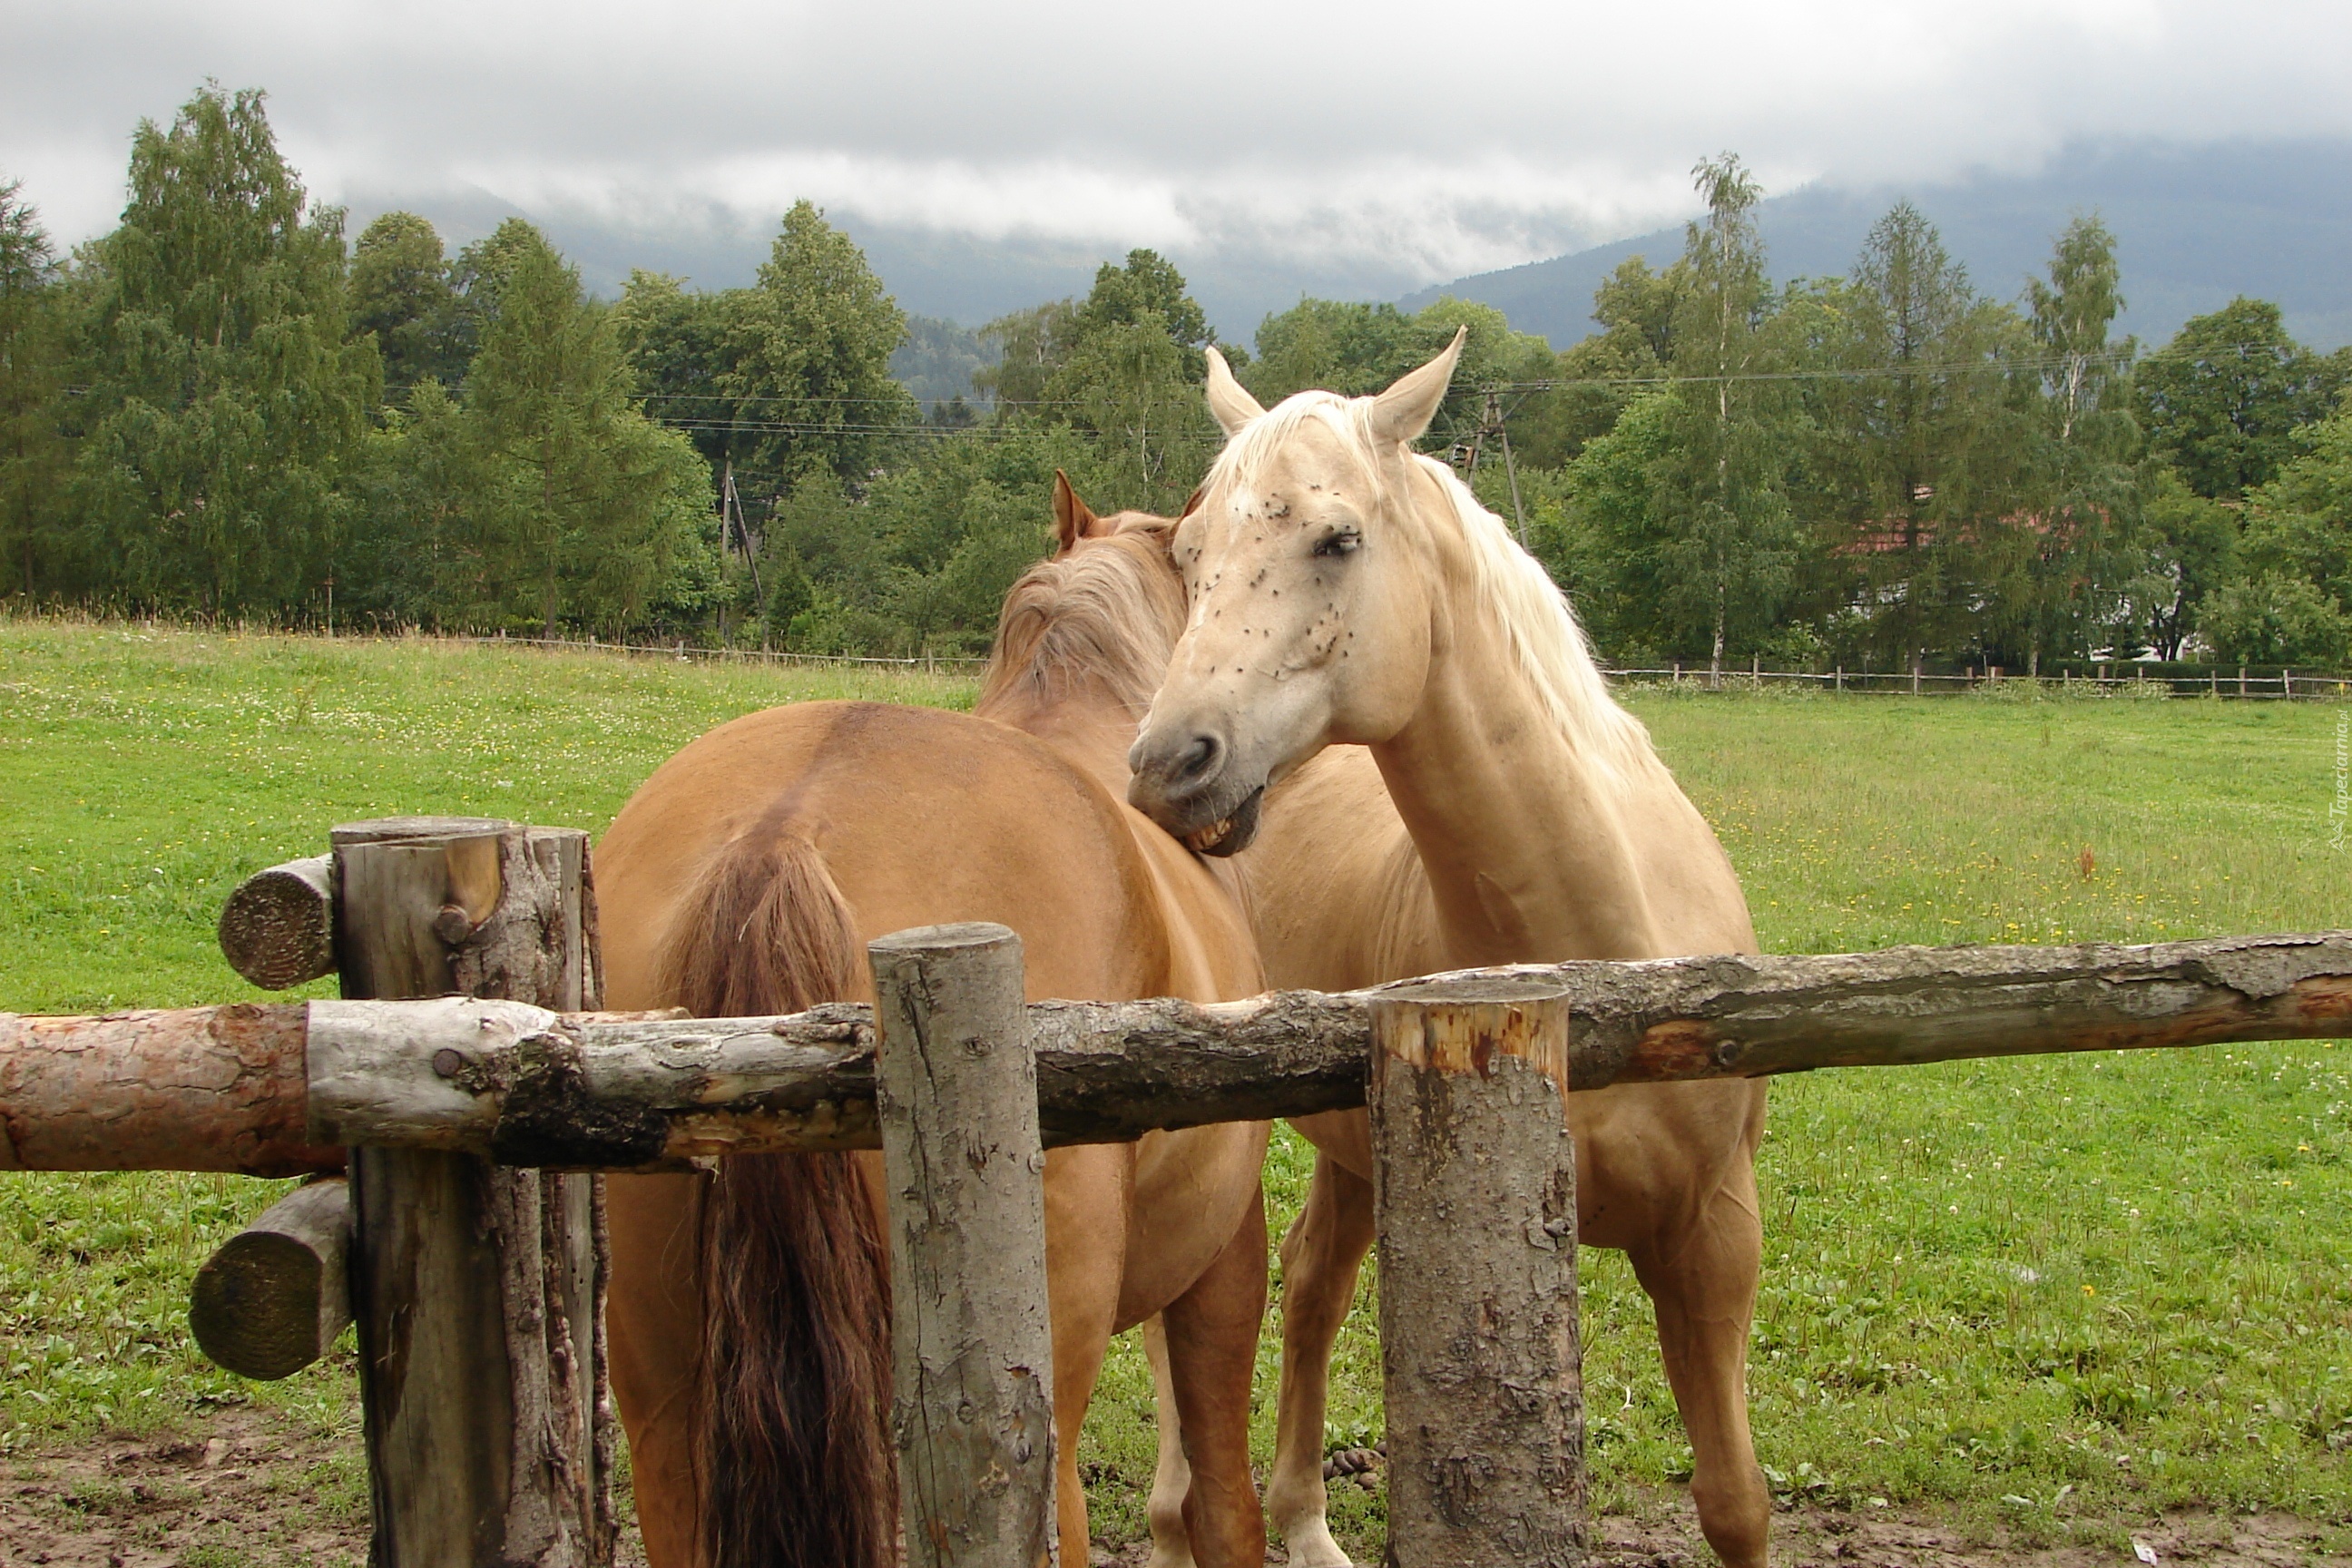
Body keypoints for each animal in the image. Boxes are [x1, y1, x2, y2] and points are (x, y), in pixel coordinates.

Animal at [1129, 343, 1769, 1568]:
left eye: (1338, 538)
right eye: (1187, 555)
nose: (1168, 766)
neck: (1595, 967)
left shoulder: (1713, 1233)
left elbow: (1736, 1503)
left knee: (1312, 1287)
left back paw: (1307, 1523)